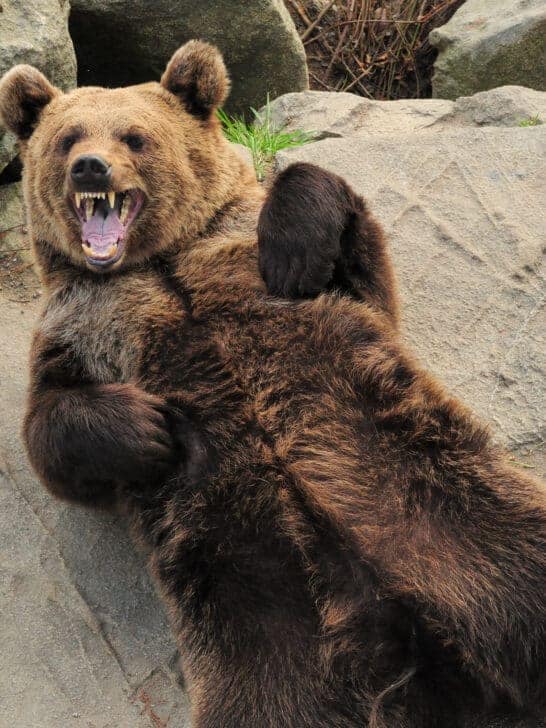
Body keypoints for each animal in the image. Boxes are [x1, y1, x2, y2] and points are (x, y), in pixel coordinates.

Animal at [0, 40, 545, 728]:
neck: (159, 263)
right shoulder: (82, 327)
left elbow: (340, 239)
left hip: (462, 518)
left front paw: (291, 250)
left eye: (134, 136)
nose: (90, 168)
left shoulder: (271, 269)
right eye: (68, 137)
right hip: (267, 632)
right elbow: (54, 433)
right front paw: (150, 428)